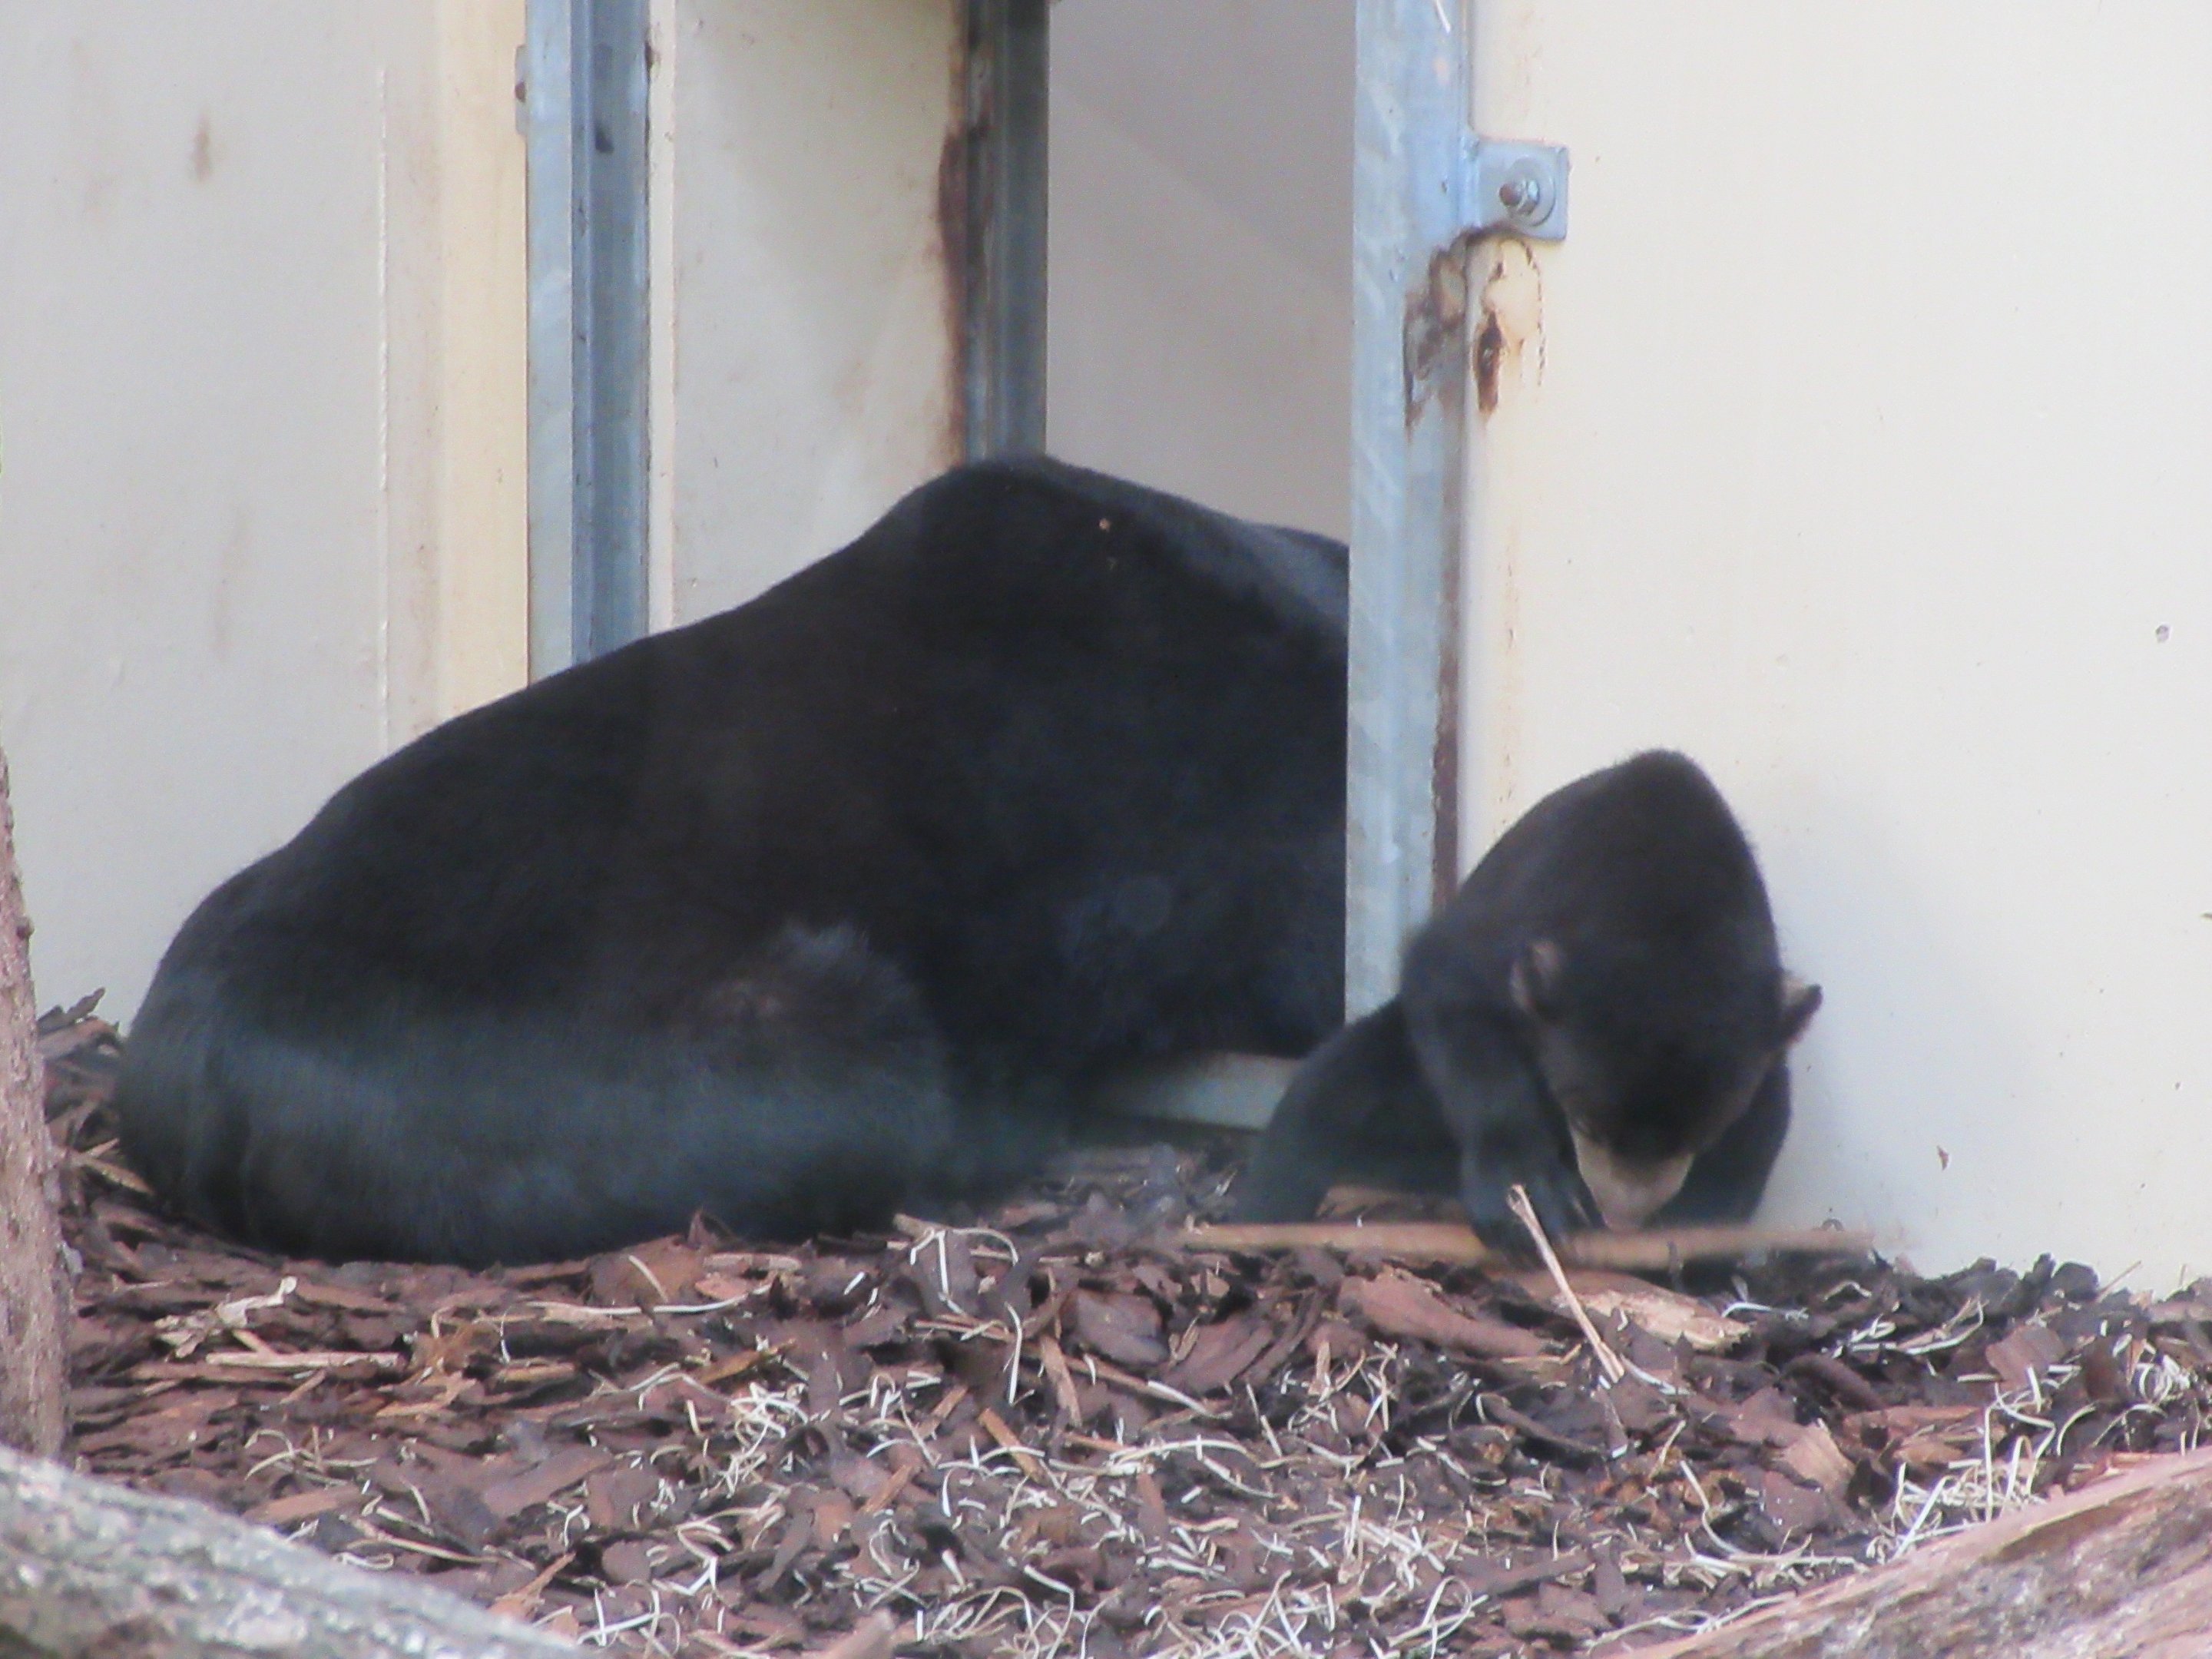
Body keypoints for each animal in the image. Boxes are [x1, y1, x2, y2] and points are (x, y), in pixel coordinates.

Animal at [1233, 750, 1821, 1245]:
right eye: (1585, 1121)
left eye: (1697, 1138)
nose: (1620, 1217)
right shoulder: (1506, 929)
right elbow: (1455, 1005)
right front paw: (1527, 1202)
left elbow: (1760, 1129)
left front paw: (1696, 1215)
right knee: (1329, 1095)